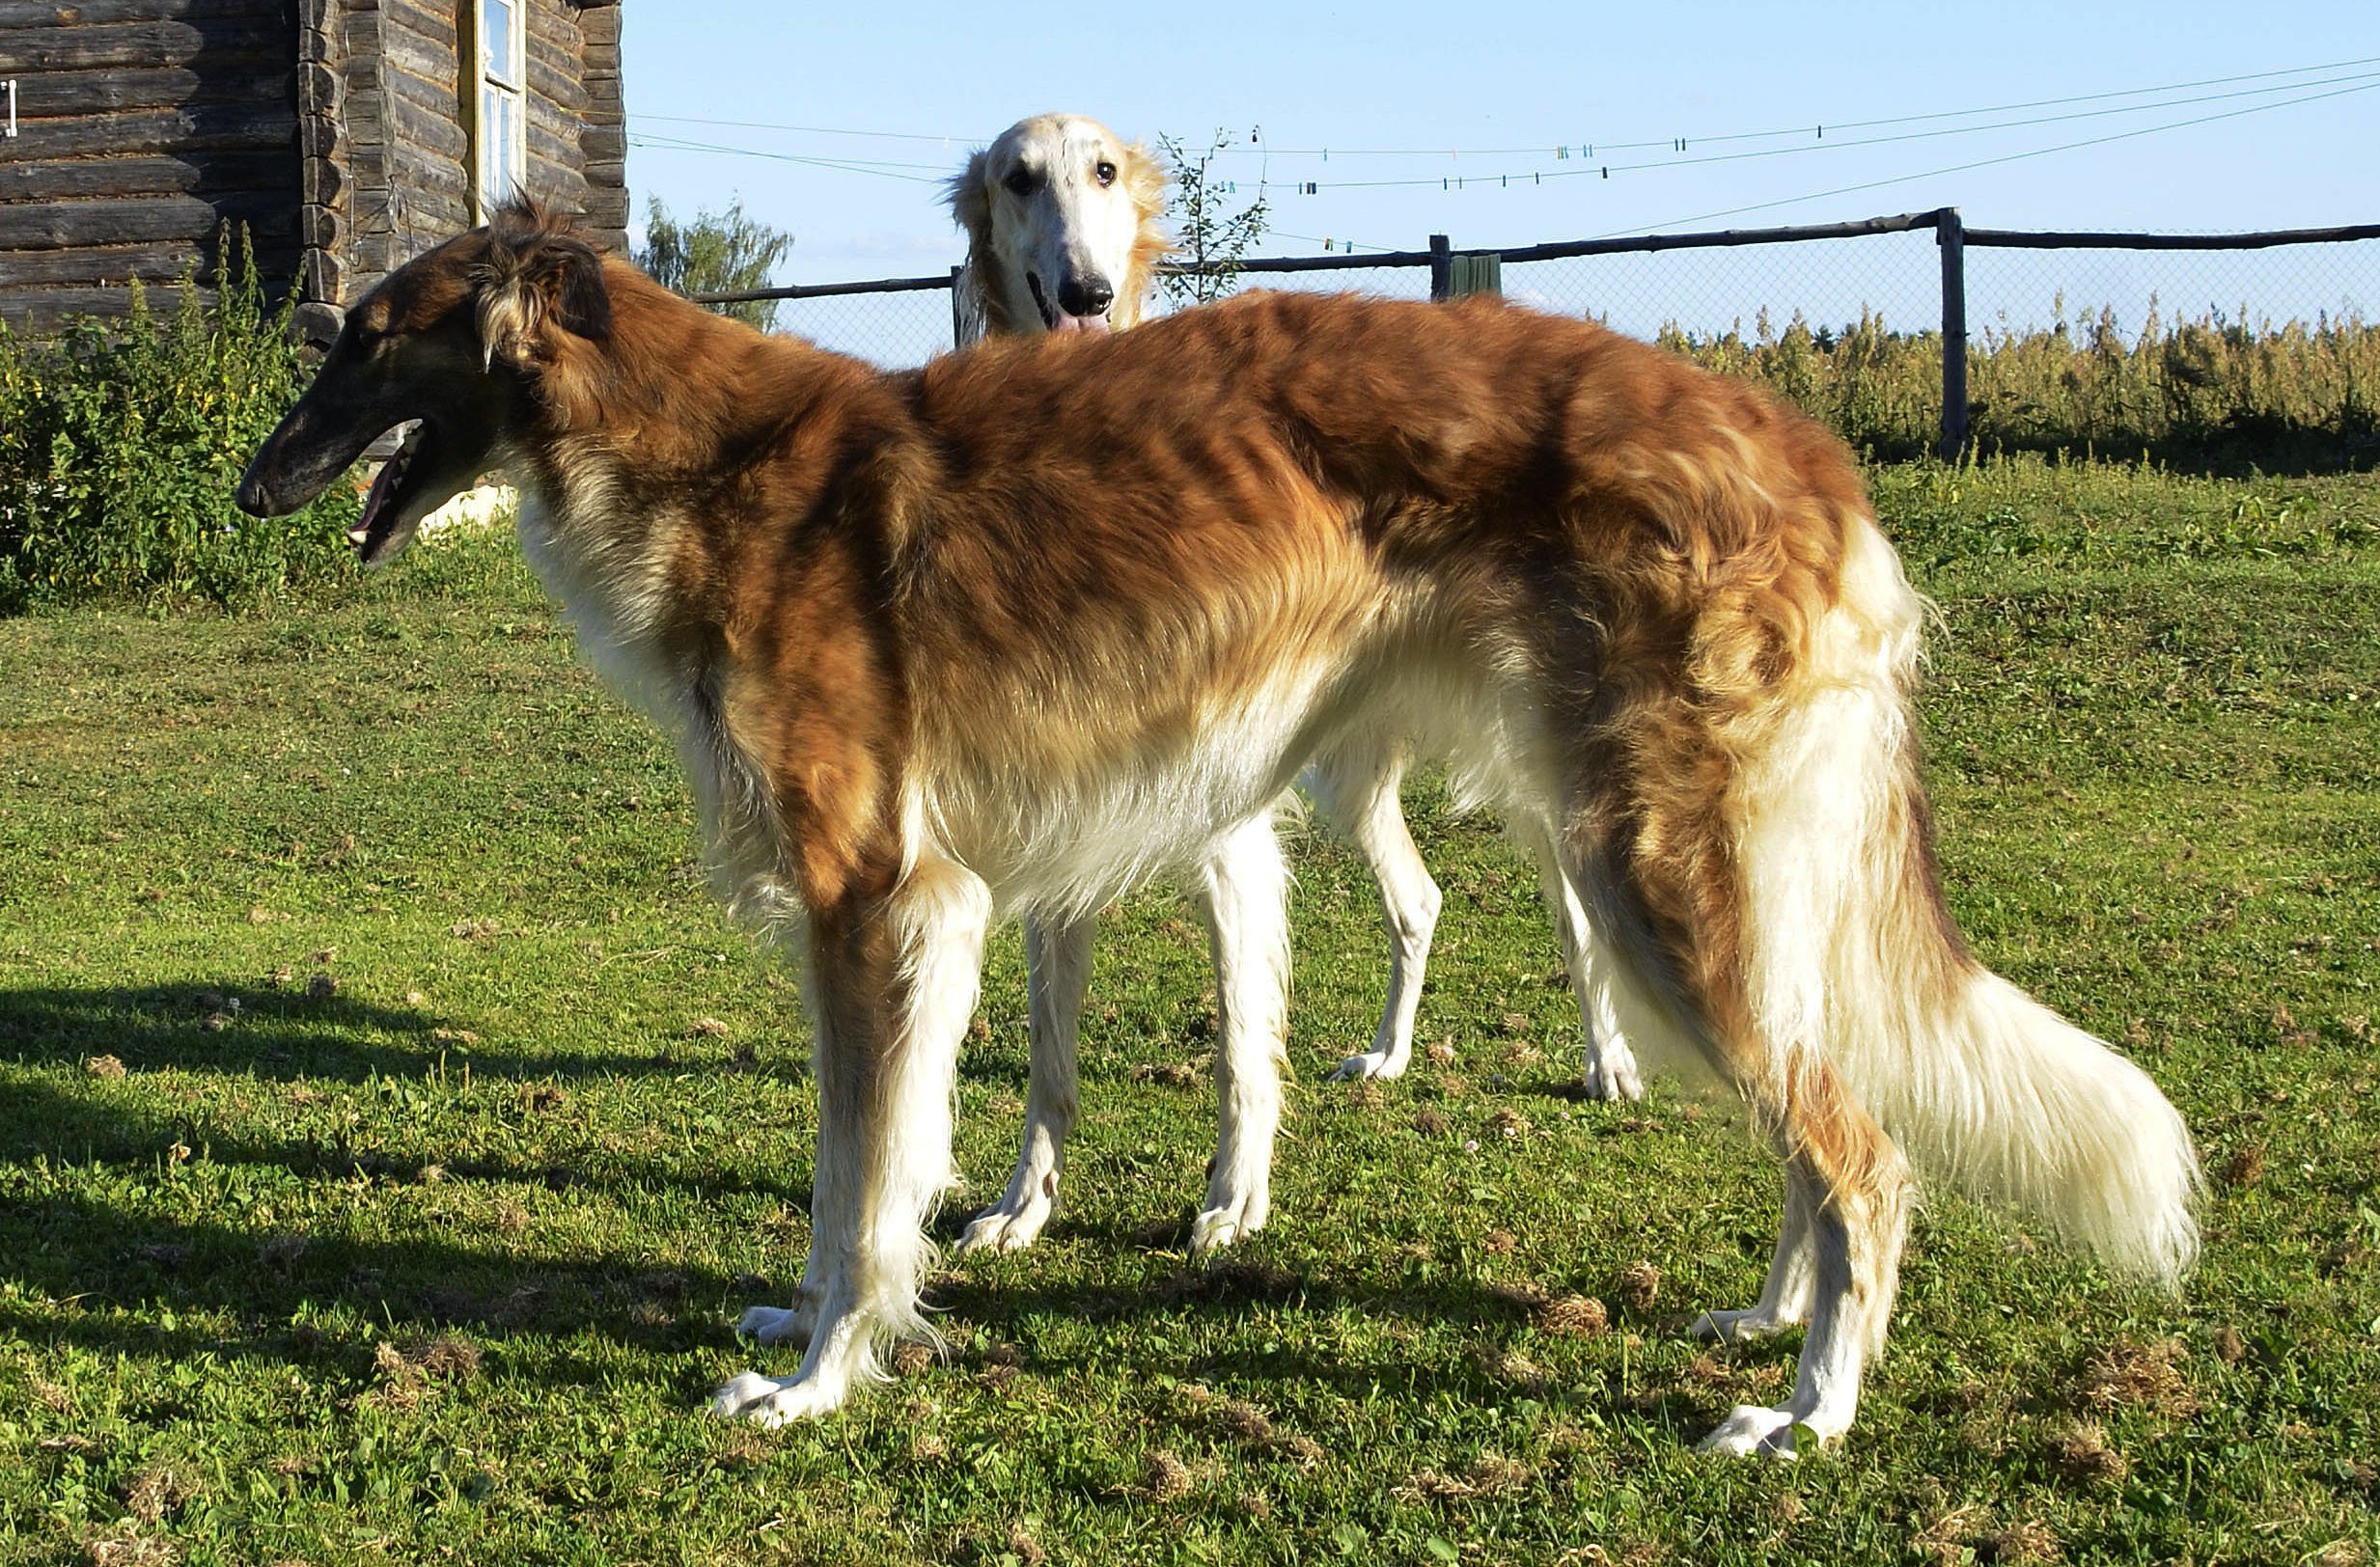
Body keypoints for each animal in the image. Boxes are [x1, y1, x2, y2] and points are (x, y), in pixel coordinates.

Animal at [937, 113, 1647, 1265]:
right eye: (1018, 178)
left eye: (1104, 171)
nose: (1087, 291)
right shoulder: (1061, 832)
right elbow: (1049, 1059)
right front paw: (1021, 1207)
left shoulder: (1229, 842)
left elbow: (1240, 1040)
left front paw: (1235, 1198)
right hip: (1346, 780)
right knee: (1420, 897)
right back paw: (1390, 1056)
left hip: (1522, 769)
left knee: (1578, 920)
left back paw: (1608, 1062)